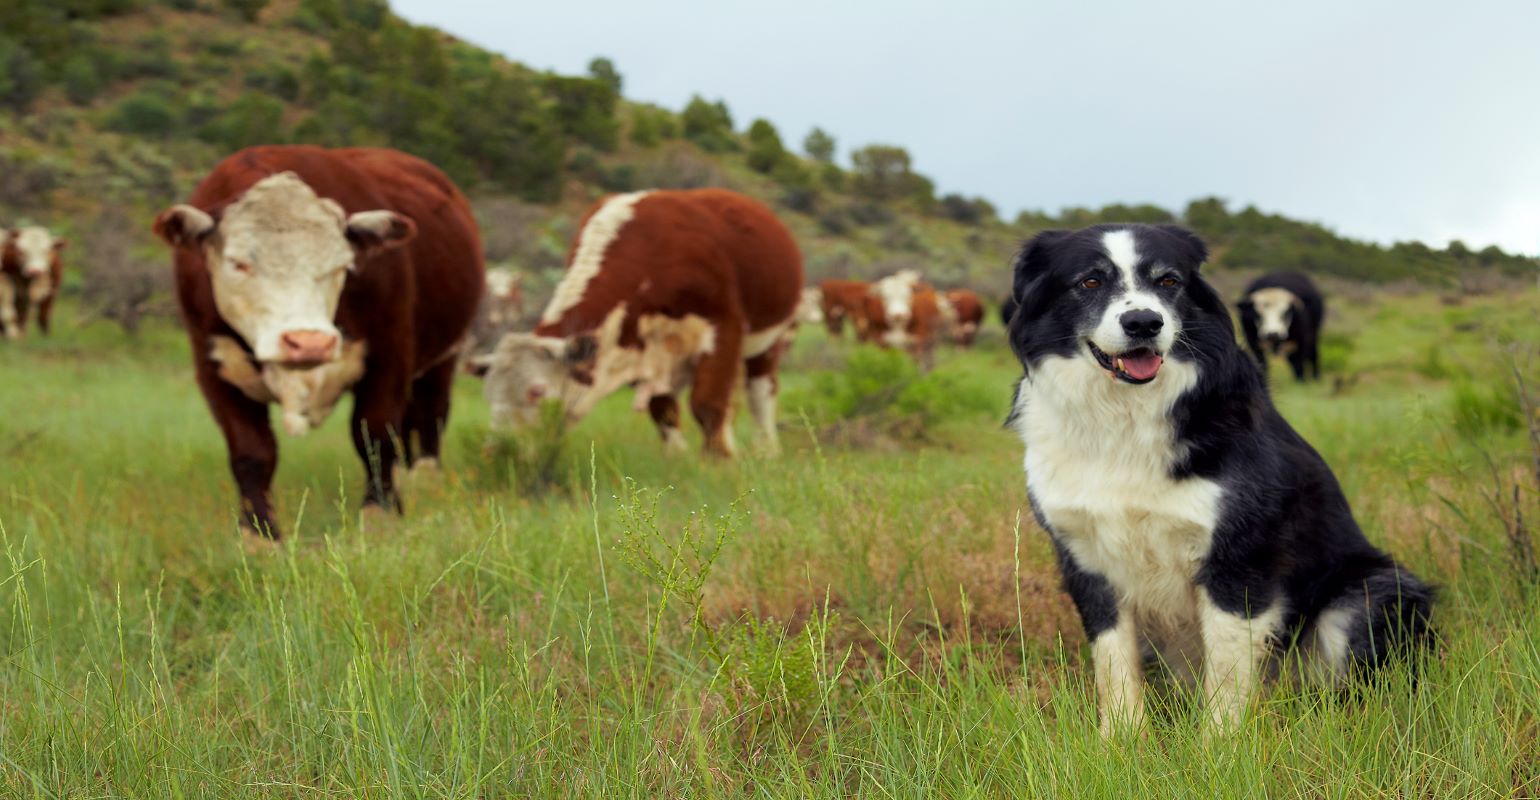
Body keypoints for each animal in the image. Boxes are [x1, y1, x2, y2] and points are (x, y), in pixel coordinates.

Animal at [155, 147, 480, 542]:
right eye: (238, 263)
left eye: (342, 265)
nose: (308, 342)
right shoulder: (215, 368)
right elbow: (251, 450)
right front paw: (260, 534)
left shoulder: (389, 355)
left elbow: (374, 434)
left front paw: (381, 513)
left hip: (442, 358)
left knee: (428, 417)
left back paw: (423, 480)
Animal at [468, 188, 806, 459]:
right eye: (489, 393)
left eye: (536, 392)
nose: (499, 450)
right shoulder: (640, 350)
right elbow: (663, 409)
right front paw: (677, 457)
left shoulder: (723, 327)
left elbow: (707, 403)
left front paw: (718, 459)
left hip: (769, 341)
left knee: (761, 393)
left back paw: (767, 450)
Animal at [1010, 223, 1429, 733]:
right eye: (1090, 281)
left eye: (1168, 281)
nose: (1144, 323)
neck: (1124, 414)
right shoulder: (1085, 556)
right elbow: (1113, 663)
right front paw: (1121, 741)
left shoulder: (1238, 553)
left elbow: (1227, 674)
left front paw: (1220, 746)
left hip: (1372, 591)